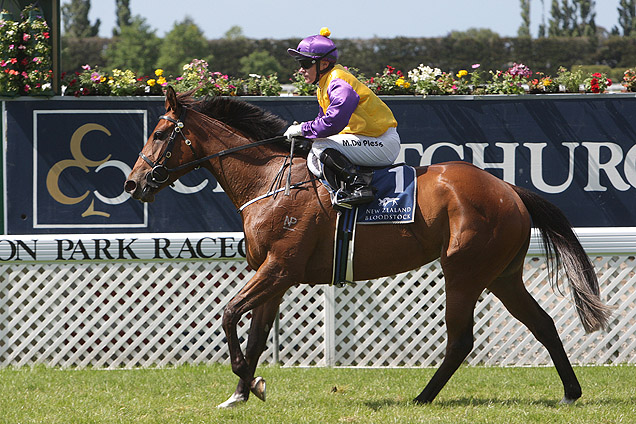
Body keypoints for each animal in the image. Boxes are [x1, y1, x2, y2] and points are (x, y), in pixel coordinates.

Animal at [123, 86, 612, 408]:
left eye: (161, 134)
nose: (133, 183)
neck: (269, 182)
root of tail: (509, 189)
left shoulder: (279, 268)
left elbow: (228, 314)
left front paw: (249, 380)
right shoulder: (272, 273)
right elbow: (257, 332)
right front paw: (242, 392)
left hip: (464, 271)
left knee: (461, 339)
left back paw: (422, 396)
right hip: (502, 275)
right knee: (543, 324)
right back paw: (570, 393)